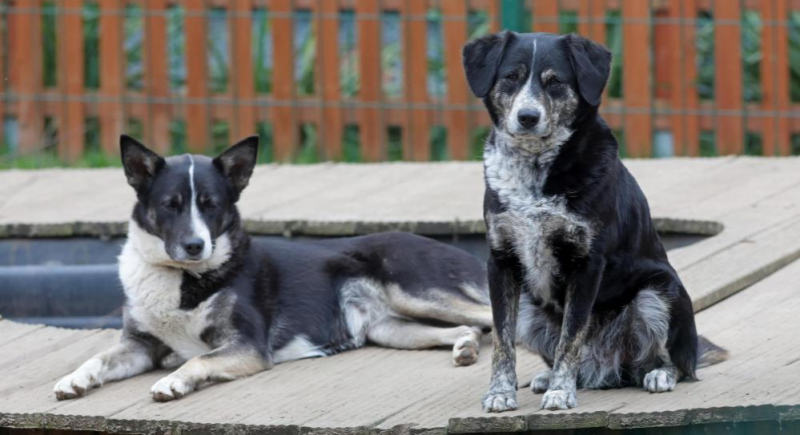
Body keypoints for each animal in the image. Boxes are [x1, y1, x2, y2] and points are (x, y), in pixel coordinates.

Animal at [53, 135, 490, 402]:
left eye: (211, 204)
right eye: (170, 205)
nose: (196, 246)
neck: (180, 276)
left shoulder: (247, 346)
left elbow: (198, 360)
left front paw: (173, 380)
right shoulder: (140, 346)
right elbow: (99, 358)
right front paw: (74, 378)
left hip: (416, 291)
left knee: (489, 315)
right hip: (390, 328)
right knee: (467, 327)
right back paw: (465, 346)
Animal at [462, 32, 732, 414]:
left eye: (555, 82)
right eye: (511, 77)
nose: (528, 117)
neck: (534, 170)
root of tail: (605, 366)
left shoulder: (587, 263)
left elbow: (571, 337)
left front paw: (560, 393)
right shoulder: (501, 261)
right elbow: (503, 339)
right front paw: (500, 392)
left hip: (660, 291)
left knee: (677, 363)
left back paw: (659, 374)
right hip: (530, 306)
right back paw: (551, 377)